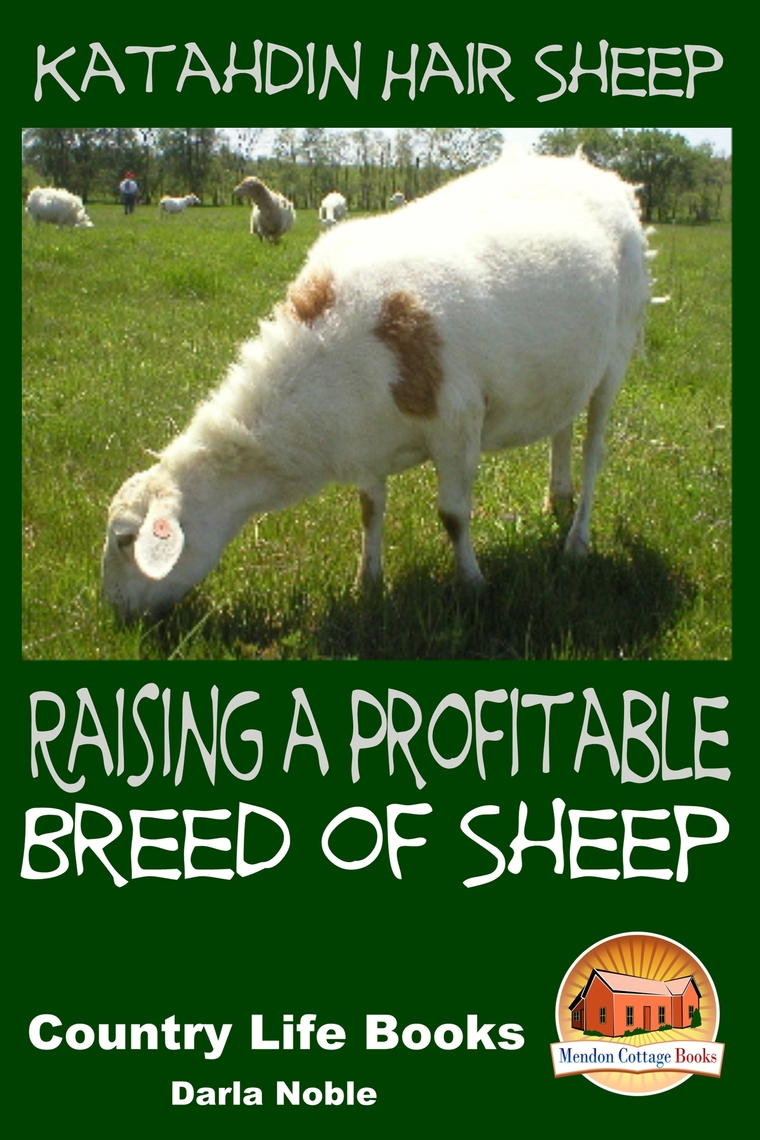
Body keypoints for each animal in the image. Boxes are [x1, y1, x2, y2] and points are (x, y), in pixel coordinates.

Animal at [103, 152, 653, 621]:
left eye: (126, 540)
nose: (117, 615)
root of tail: (597, 174)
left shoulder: (457, 423)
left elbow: (453, 515)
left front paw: (472, 583)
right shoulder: (365, 442)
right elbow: (369, 511)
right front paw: (367, 582)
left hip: (617, 352)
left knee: (593, 450)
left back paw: (576, 540)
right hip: (571, 368)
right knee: (562, 429)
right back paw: (556, 498)